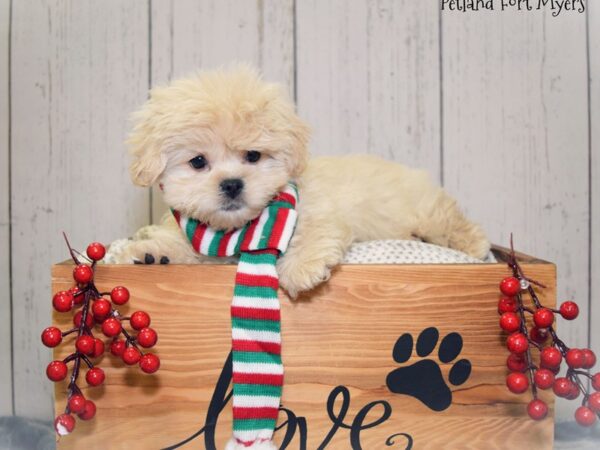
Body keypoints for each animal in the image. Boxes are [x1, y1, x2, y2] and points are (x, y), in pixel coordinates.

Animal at [108, 65, 490, 298]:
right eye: (198, 162)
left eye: (253, 156)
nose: (232, 184)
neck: (241, 232)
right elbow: (184, 247)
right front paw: (149, 252)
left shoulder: (318, 210)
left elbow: (311, 231)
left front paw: (301, 267)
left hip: (426, 209)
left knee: (451, 220)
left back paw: (473, 244)